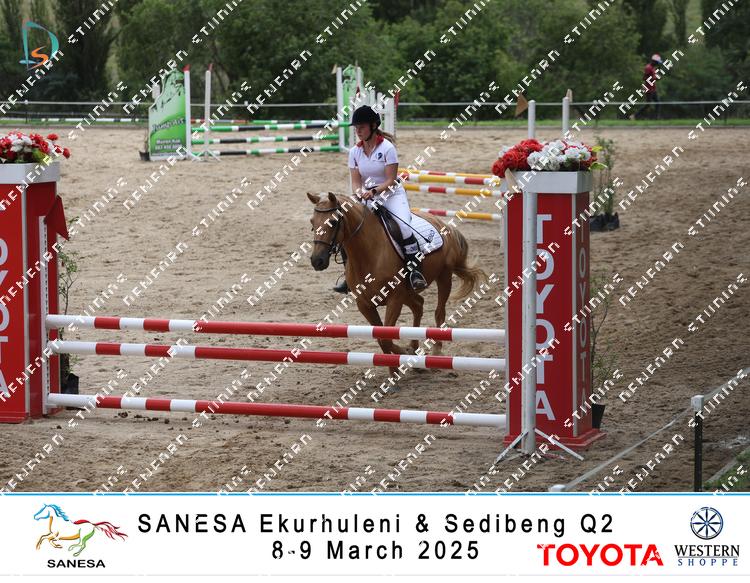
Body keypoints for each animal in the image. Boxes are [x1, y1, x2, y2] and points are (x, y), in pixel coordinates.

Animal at [307, 192, 487, 361]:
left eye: (333, 222)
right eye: (312, 222)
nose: (317, 261)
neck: (369, 253)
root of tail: (442, 223)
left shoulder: (394, 299)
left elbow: (386, 338)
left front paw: (405, 354)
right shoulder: (365, 304)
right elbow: (381, 339)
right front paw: (399, 362)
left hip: (443, 276)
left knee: (439, 312)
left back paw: (435, 349)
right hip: (408, 292)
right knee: (418, 305)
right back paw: (414, 346)